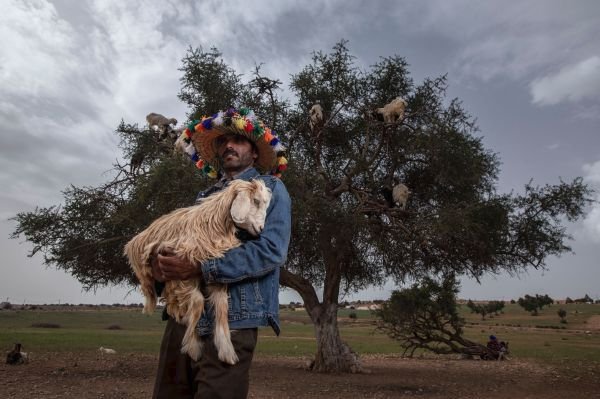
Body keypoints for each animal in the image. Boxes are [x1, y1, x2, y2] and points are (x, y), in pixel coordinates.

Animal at [124, 180, 272, 366]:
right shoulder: (181, 272)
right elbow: (197, 302)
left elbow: (222, 307)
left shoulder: (214, 273)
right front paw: (193, 346)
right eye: (256, 201)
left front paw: (226, 351)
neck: (212, 224)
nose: (260, 229)